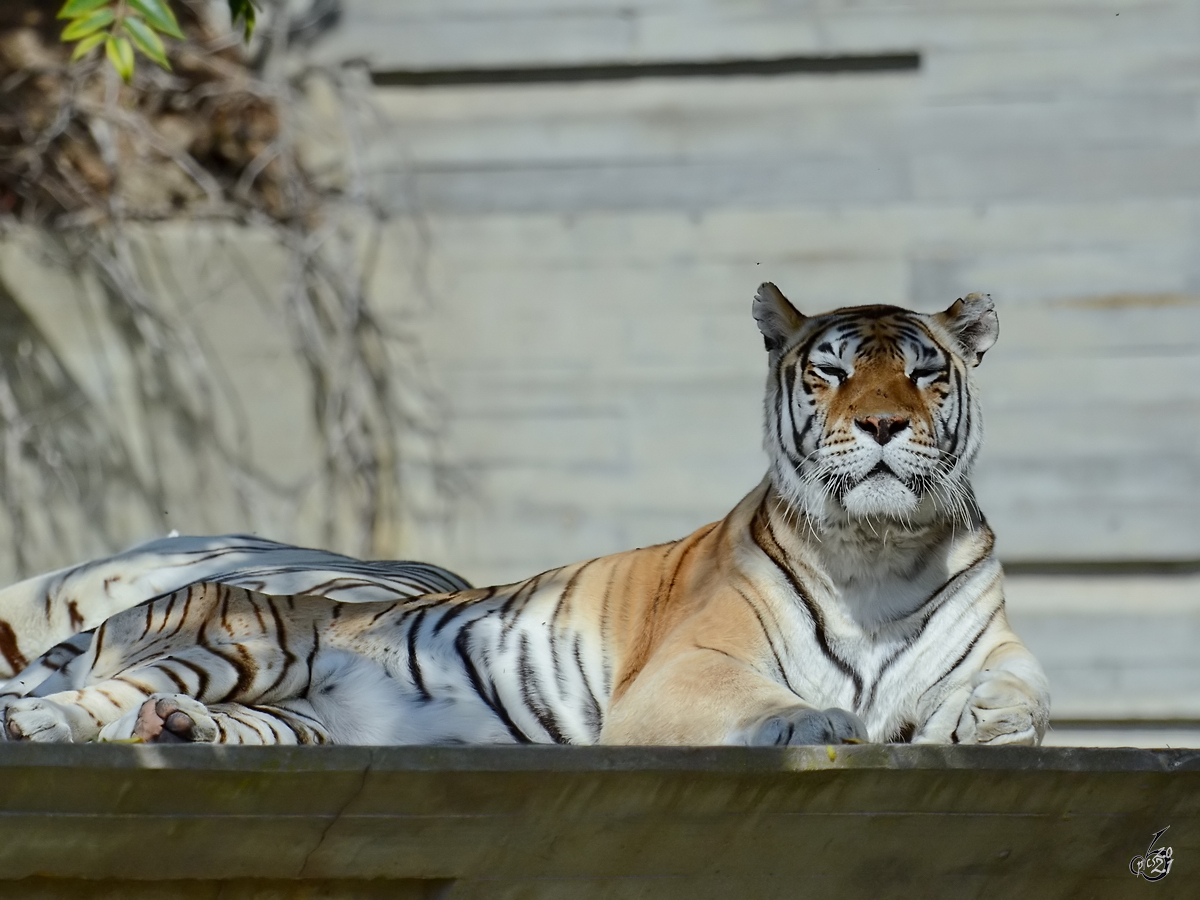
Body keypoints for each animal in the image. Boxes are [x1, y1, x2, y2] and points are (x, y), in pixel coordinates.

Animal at [0, 286, 1051, 748]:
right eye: (829, 372)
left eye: (922, 373)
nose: (881, 423)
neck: (876, 553)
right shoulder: (682, 674)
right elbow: (770, 702)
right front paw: (817, 722)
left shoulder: (995, 645)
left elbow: (1025, 691)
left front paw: (988, 719)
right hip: (236, 644)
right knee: (88, 700)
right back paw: (51, 723)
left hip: (290, 715)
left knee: (177, 718)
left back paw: (177, 730)